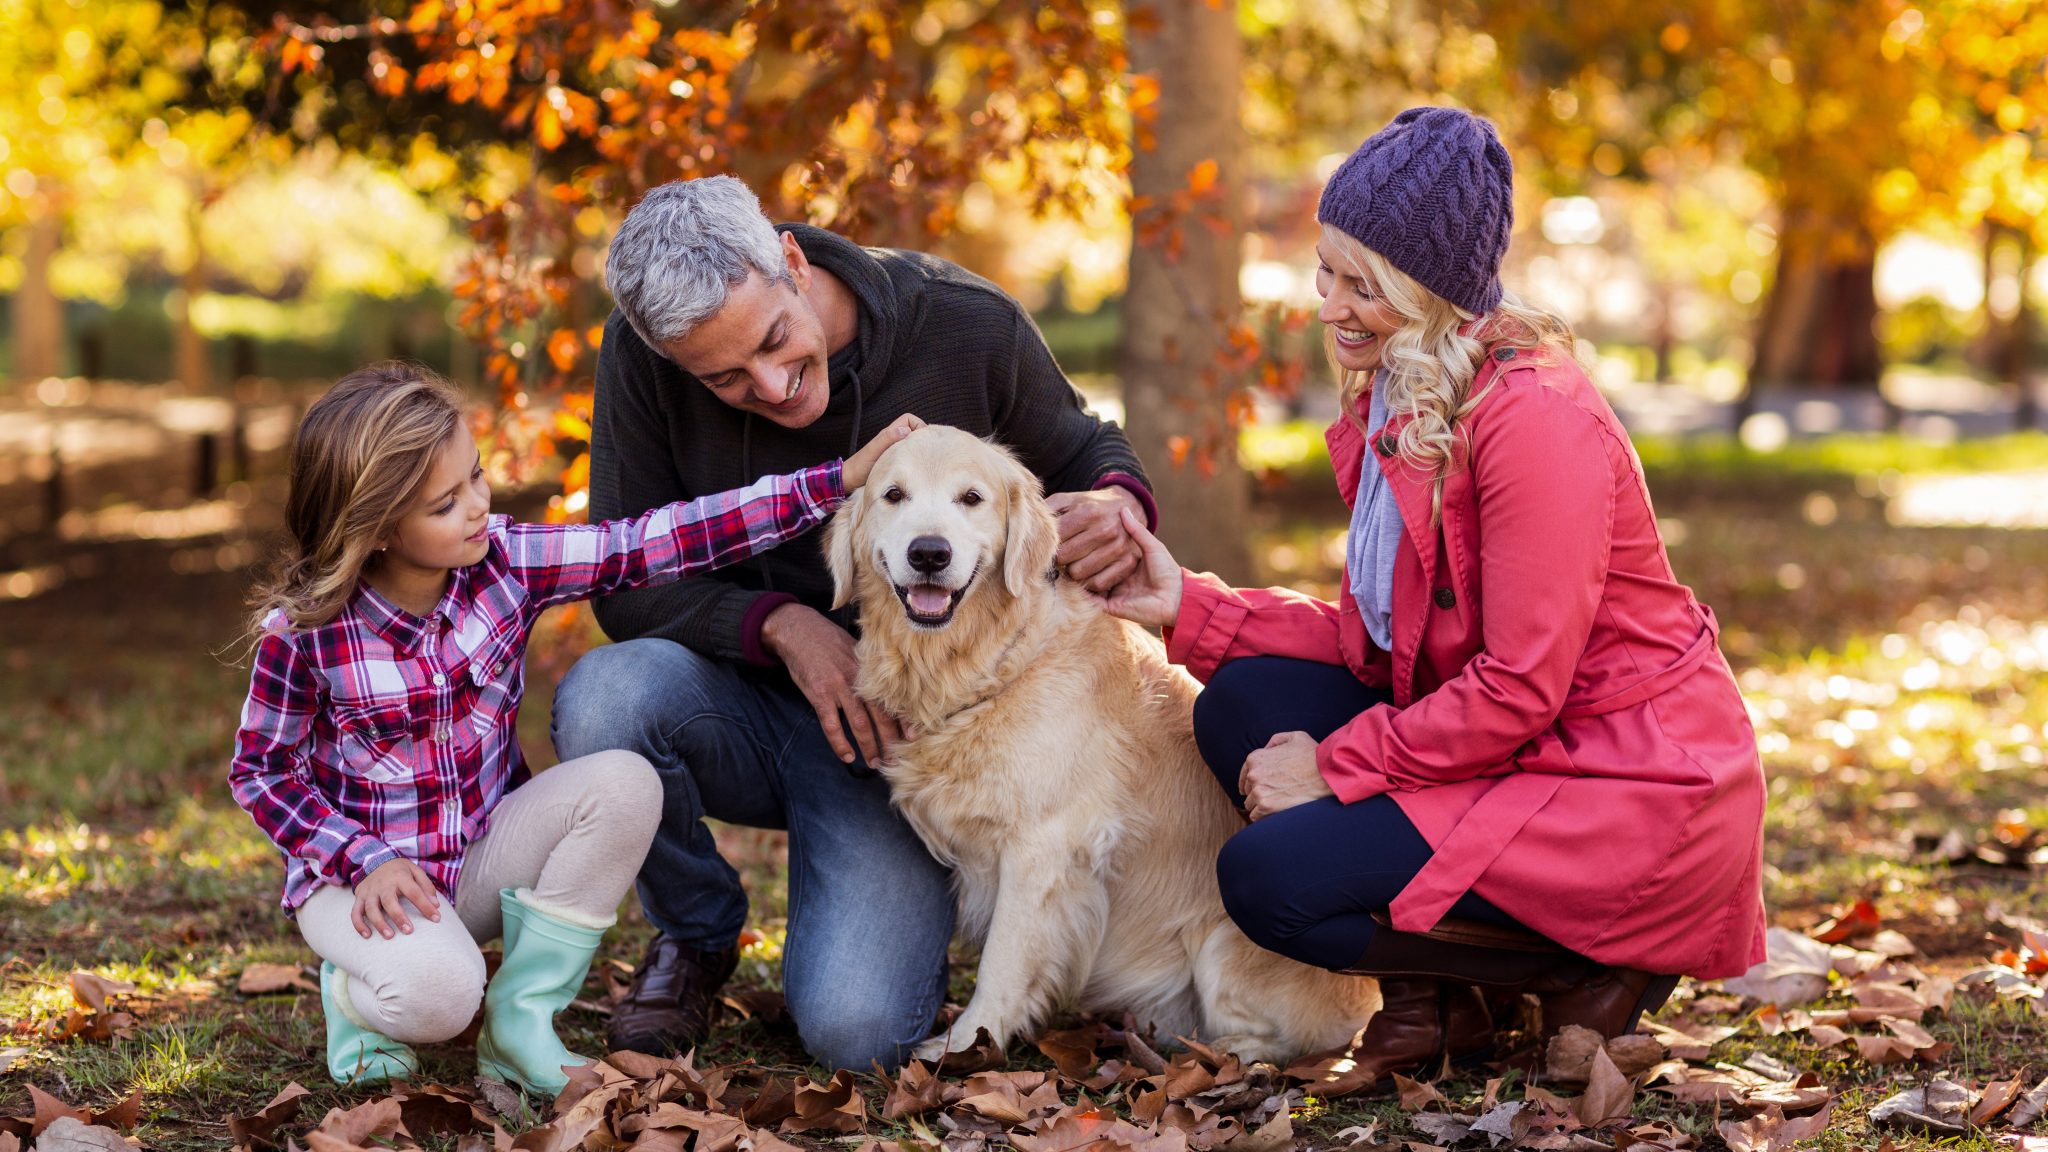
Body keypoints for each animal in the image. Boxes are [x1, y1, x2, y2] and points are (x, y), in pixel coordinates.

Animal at [823, 426, 1384, 1065]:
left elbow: (1003, 961)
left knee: (1304, 1040)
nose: (929, 554)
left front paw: (967, 1044)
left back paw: (1219, 1053)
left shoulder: (1043, 847)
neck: (988, 660)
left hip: (1223, 950)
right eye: (893, 495)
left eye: (972, 498)